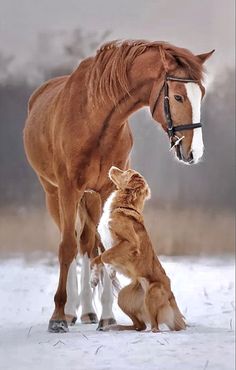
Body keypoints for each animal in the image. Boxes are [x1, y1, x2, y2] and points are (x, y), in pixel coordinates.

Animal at [90, 167, 186, 332]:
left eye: (126, 171)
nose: (112, 167)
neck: (123, 205)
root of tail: (171, 296)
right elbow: (97, 259)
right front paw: (95, 277)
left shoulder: (130, 243)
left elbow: (104, 256)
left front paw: (104, 273)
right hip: (123, 296)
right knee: (139, 325)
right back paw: (116, 327)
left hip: (152, 292)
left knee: (154, 325)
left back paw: (152, 331)